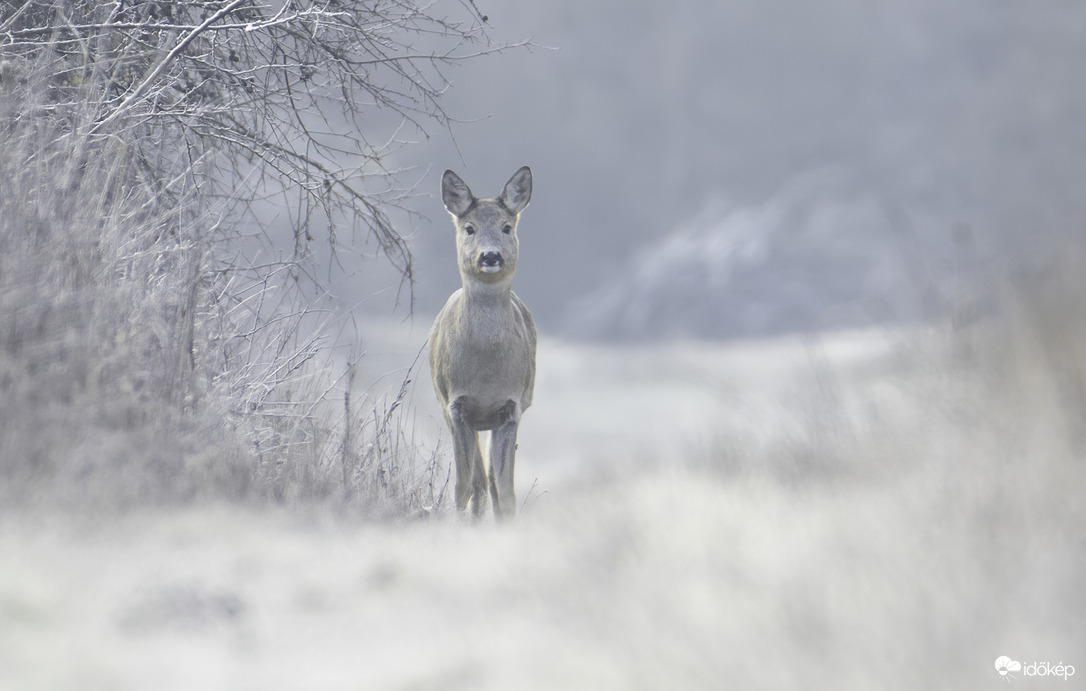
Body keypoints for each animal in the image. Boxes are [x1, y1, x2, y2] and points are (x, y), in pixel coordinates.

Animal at [430, 167, 536, 521]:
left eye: (506, 226)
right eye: (469, 228)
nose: (490, 255)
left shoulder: (511, 407)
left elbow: (505, 490)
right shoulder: (457, 405)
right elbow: (463, 486)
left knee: (489, 481)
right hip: (448, 408)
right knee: (476, 482)